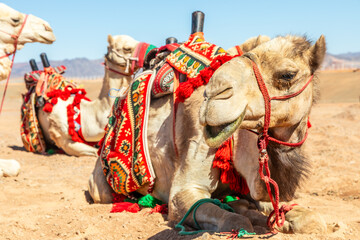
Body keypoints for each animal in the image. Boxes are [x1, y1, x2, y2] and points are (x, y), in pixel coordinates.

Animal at [88, 34, 328, 233]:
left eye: (288, 74)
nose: (213, 94)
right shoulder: (187, 180)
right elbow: (234, 221)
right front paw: (244, 214)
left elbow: (309, 218)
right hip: (101, 185)